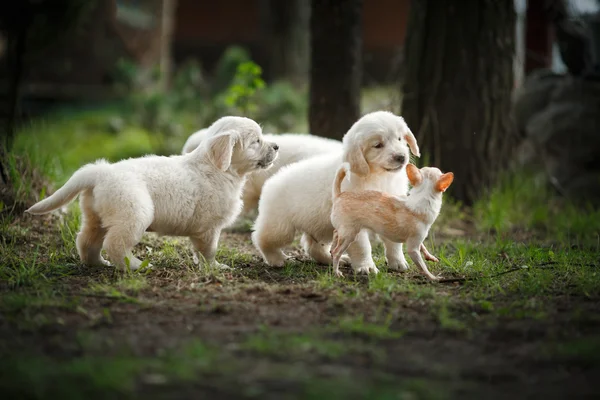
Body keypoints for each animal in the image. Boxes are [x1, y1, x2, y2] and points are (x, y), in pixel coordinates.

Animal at [25, 117, 278, 270]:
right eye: (256, 141)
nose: (276, 147)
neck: (217, 168)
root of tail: (100, 171)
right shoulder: (209, 228)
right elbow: (208, 251)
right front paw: (214, 268)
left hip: (95, 216)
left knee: (86, 241)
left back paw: (97, 263)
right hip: (135, 213)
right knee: (115, 244)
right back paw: (134, 265)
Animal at [251, 110, 420, 276]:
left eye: (399, 138)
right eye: (378, 145)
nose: (401, 157)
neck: (378, 177)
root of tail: (272, 180)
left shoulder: (391, 215)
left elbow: (394, 244)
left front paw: (398, 263)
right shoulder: (353, 220)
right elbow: (363, 247)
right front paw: (366, 267)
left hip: (322, 226)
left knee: (313, 246)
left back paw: (331, 259)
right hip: (280, 227)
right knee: (261, 238)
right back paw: (277, 259)